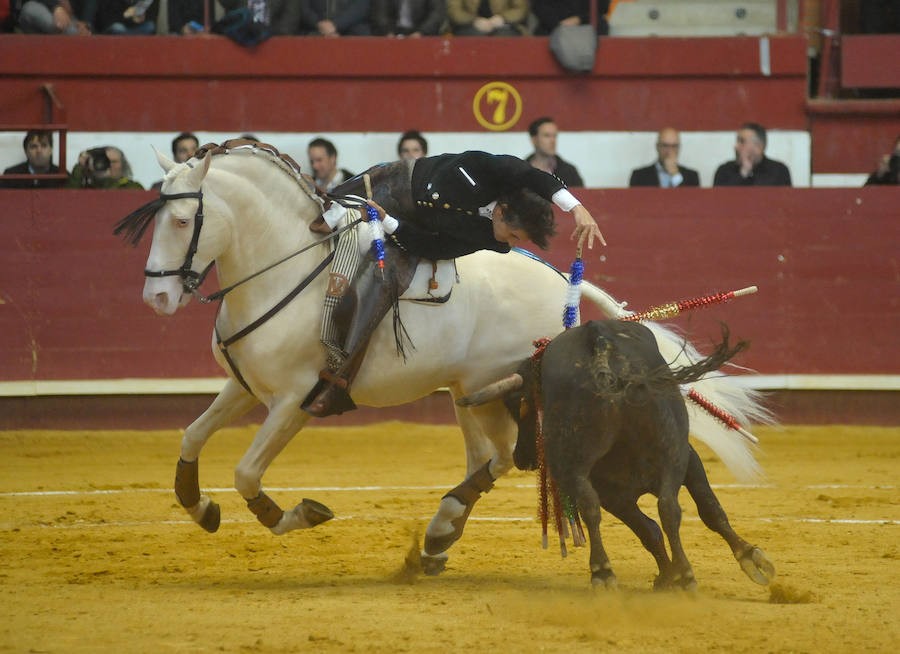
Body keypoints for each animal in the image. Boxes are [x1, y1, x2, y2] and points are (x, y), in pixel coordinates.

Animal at [458, 320, 772, 592]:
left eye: (516, 405)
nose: (522, 457)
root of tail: (601, 343)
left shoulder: (627, 488)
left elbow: (681, 519)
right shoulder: (668, 467)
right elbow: (673, 521)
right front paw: (674, 574)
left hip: (581, 465)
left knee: (614, 508)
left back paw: (608, 571)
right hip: (667, 453)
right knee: (666, 508)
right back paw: (676, 573)